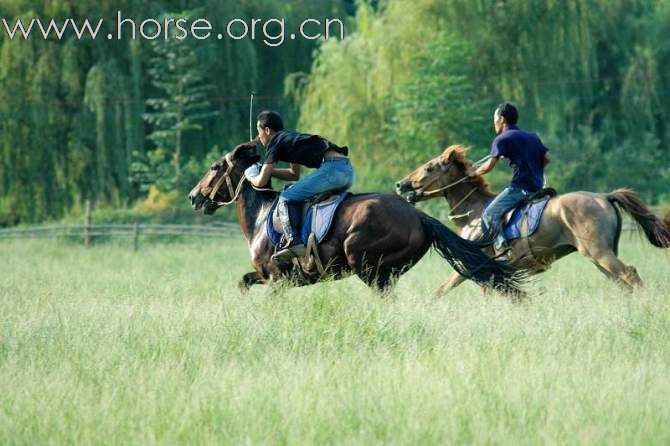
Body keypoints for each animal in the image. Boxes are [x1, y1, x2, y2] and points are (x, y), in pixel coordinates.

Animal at [189, 140, 524, 292]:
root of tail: (418, 215)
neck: (260, 218)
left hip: (364, 263)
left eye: (215, 167)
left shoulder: (276, 279)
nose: (194, 196)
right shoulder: (266, 277)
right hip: (386, 273)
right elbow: (243, 282)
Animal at [396, 145, 670, 294]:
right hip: (600, 256)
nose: (400, 184)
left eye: (429, 167)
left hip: (599, 253)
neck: (472, 214)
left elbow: (442, 290)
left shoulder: (473, 266)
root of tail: (605, 196)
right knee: (622, 281)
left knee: (629, 275)